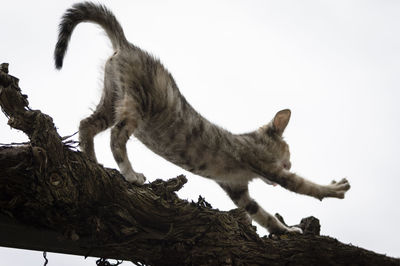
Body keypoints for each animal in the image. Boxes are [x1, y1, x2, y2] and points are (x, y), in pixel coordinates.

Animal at [54, 2, 350, 235]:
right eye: (288, 160)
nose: (288, 167)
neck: (249, 142)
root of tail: (127, 45)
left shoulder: (236, 188)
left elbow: (261, 214)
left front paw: (285, 230)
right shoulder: (261, 163)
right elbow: (303, 185)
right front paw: (334, 189)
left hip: (113, 97)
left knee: (87, 124)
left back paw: (92, 161)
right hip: (137, 103)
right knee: (117, 135)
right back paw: (130, 174)